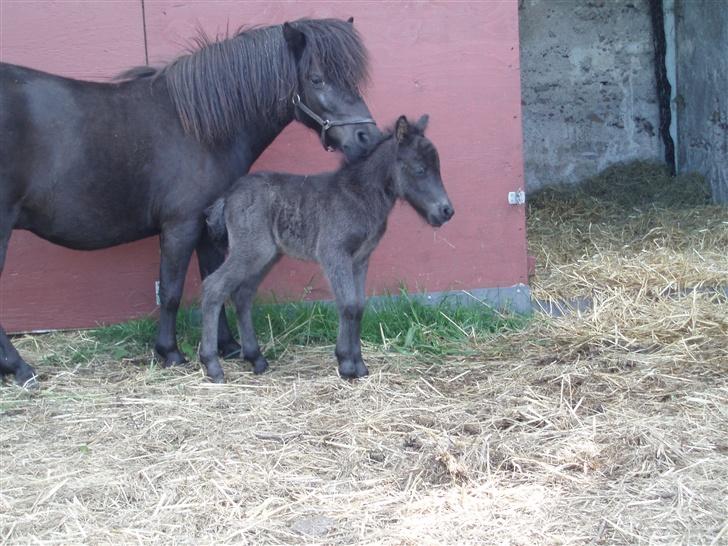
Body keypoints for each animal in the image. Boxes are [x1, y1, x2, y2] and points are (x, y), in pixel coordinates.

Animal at [1, 19, 382, 384]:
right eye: (317, 79)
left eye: (352, 79)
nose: (368, 138)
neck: (199, 129)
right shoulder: (181, 225)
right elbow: (172, 291)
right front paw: (171, 352)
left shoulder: (208, 226)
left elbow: (211, 280)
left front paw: (227, 346)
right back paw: (19, 368)